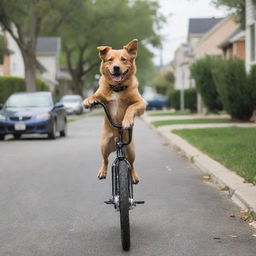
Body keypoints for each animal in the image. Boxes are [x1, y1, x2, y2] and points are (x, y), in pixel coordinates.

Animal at [83, 39, 146, 184]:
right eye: (110, 59)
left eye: (123, 59)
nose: (116, 67)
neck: (117, 88)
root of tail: (117, 140)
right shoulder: (101, 95)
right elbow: (95, 95)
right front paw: (88, 100)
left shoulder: (141, 103)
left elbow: (131, 107)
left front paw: (127, 120)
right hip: (104, 145)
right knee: (105, 160)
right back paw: (102, 171)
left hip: (131, 149)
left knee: (131, 164)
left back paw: (134, 176)